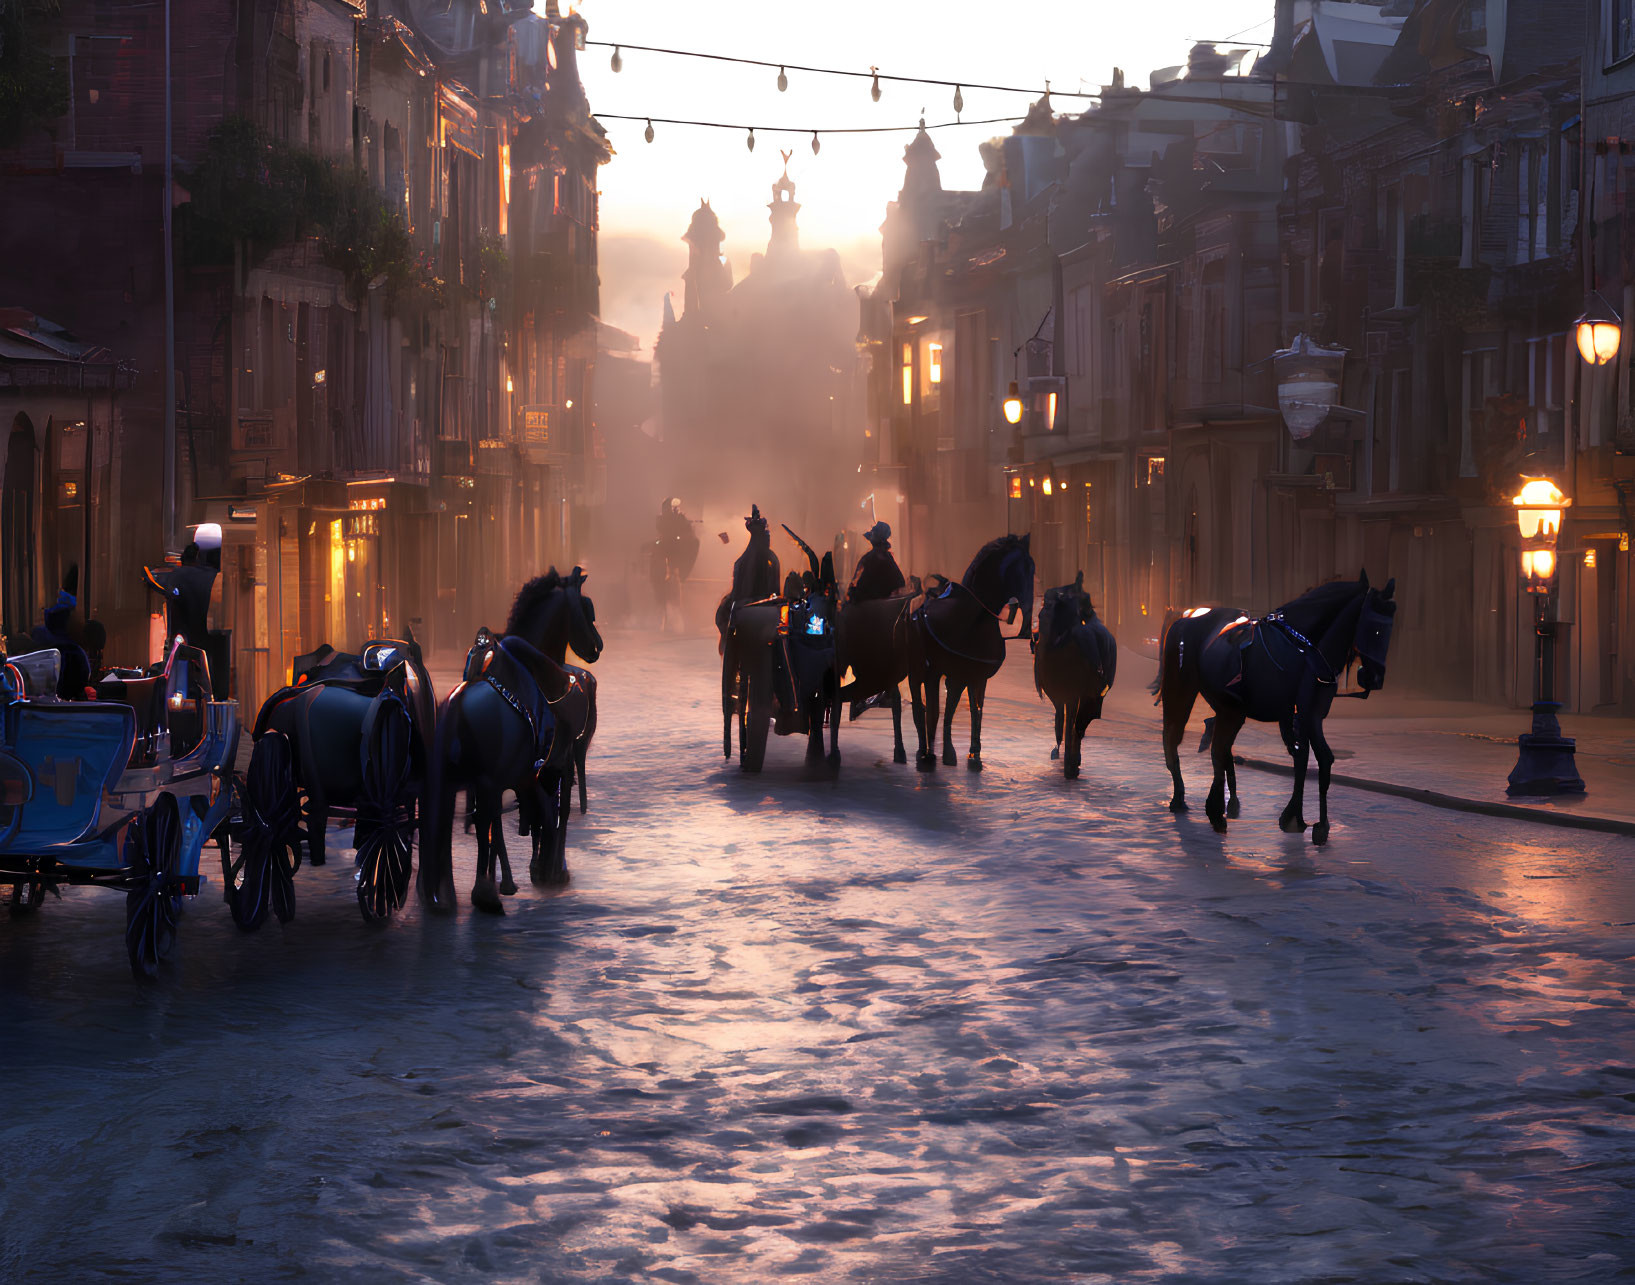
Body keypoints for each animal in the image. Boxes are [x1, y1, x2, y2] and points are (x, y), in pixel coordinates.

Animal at [418, 568, 604, 908]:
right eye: (587, 610)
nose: (596, 647)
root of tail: (459, 702)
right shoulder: (559, 760)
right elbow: (555, 813)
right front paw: (551, 869)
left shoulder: (523, 772)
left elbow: (528, 816)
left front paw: (526, 872)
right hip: (491, 778)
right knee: (486, 819)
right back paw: (485, 893)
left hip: (457, 778)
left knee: (466, 821)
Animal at [909, 532, 1033, 771]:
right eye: (1025, 569)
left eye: (1032, 569)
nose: (1027, 621)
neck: (974, 621)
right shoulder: (957, 676)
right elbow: (946, 710)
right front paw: (949, 754)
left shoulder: (977, 676)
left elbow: (976, 709)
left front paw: (974, 753)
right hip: (919, 672)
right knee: (921, 709)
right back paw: (922, 751)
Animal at [1026, 572, 1118, 774]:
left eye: (1046, 604)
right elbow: (1067, 722)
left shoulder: (1068, 693)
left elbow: (1066, 722)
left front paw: (1066, 756)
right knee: (1076, 724)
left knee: (1074, 724)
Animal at [1157, 572, 1399, 843]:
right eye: (1373, 627)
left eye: (1389, 628)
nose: (1373, 678)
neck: (1305, 648)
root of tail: (1184, 618)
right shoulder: (1303, 713)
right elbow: (1311, 757)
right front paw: (1305, 821)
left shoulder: (1308, 714)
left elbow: (1312, 758)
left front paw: (1304, 820)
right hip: (1183, 691)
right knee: (1176, 737)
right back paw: (1184, 800)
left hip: (1227, 707)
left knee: (1220, 747)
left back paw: (1225, 805)